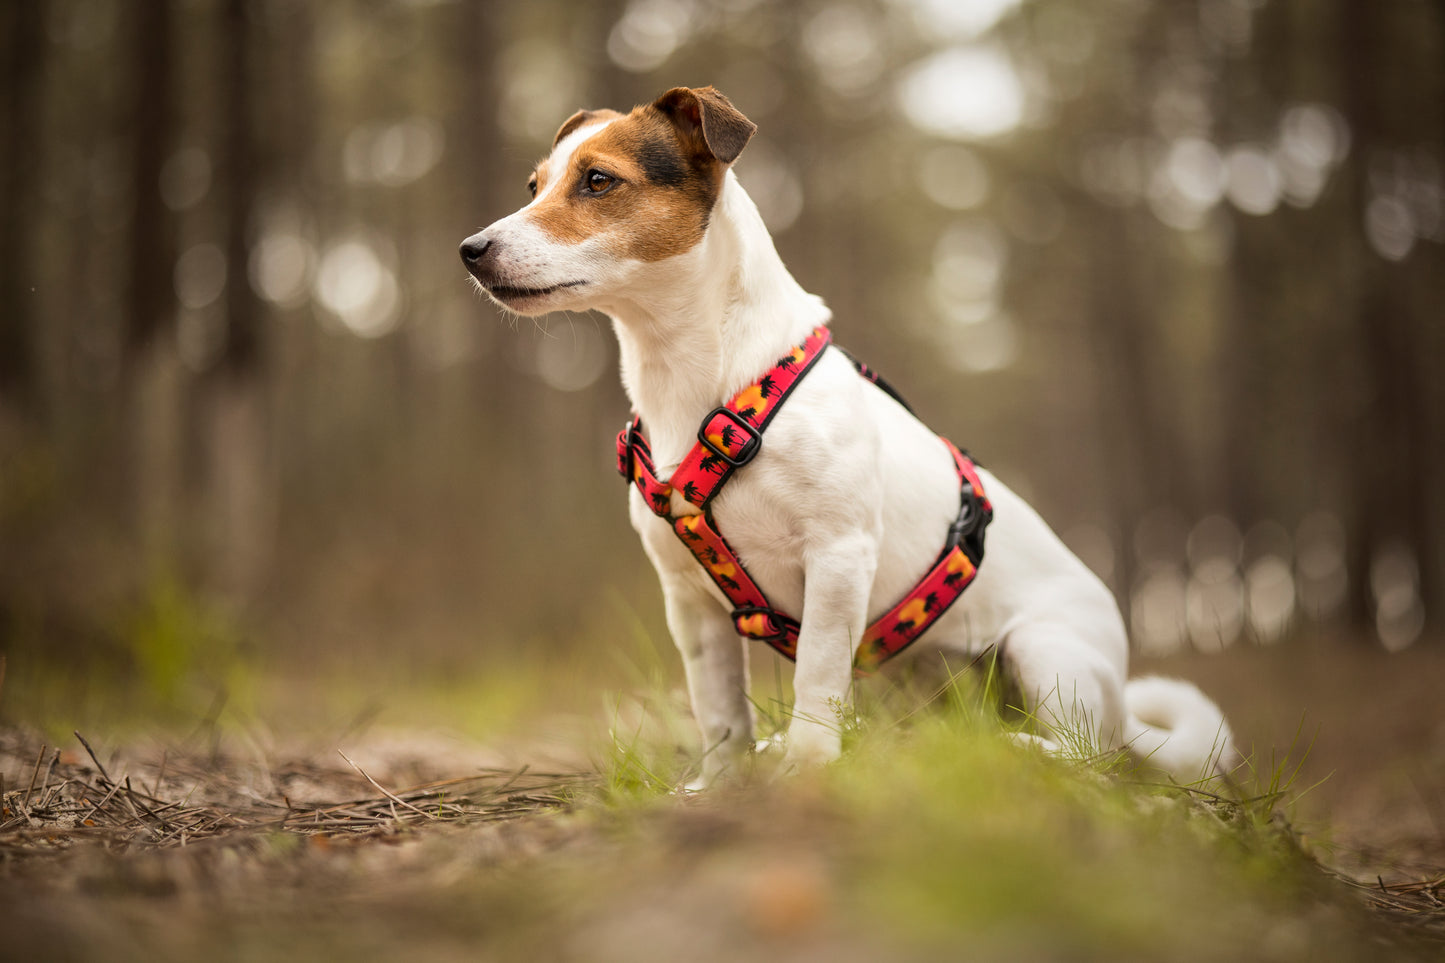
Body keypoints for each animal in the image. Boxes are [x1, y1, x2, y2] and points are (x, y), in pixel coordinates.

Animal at [456, 86, 1236, 786]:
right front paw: (721, 782)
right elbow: (720, 710)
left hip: (1045, 649)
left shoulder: (837, 558)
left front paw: (807, 765)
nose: (470, 248)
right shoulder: (688, 600)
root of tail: (1121, 701)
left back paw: (1028, 750)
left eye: (598, 180)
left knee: (1091, 753)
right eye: (535, 186)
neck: (700, 379)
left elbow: (816, 679)